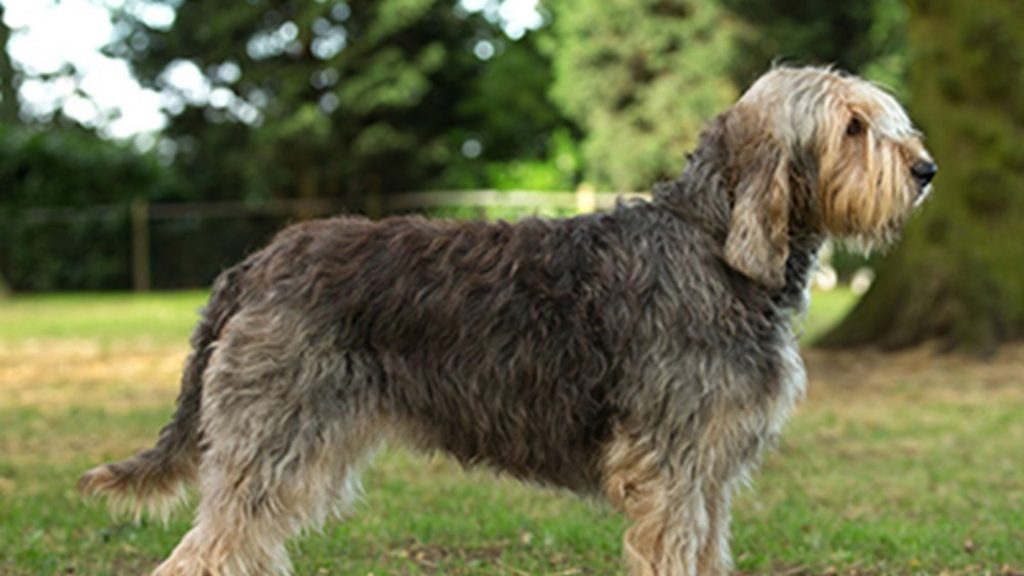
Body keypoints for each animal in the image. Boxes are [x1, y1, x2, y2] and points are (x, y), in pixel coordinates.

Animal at [81, 65, 937, 569]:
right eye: (853, 127)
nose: (927, 171)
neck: (713, 248)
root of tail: (256, 263)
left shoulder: (710, 473)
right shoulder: (670, 470)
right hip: (272, 443)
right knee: (205, 550)